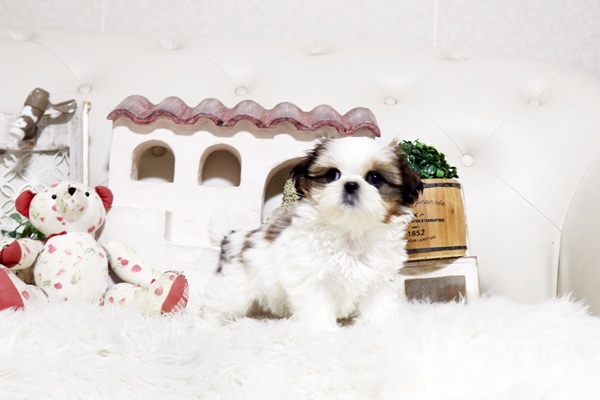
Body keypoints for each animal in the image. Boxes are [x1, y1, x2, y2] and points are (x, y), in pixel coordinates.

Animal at [203, 137, 423, 329]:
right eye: (333, 175)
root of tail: (233, 237)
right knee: (215, 307)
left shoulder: (379, 278)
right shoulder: (310, 280)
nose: (351, 185)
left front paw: (378, 328)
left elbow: (377, 305)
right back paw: (207, 328)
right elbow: (317, 307)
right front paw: (323, 332)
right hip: (234, 289)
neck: (350, 233)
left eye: (375, 178)